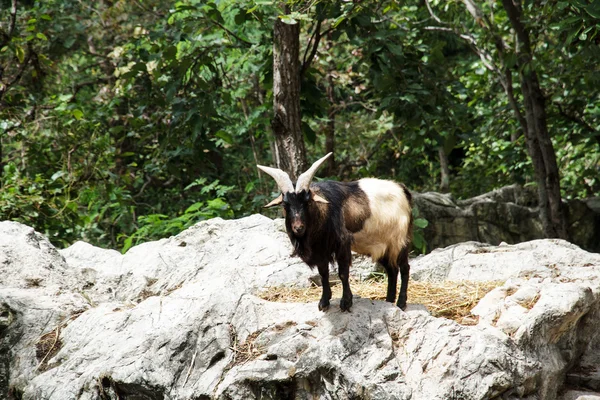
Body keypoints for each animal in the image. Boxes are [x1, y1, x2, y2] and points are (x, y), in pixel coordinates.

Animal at [258, 153, 412, 312]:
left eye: (308, 202)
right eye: (285, 204)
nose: (298, 228)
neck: (324, 212)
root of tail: (402, 190)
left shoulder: (342, 244)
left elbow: (343, 273)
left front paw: (346, 302)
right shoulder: (320, 250)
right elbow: (323, 274)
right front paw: (324, 301)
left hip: (399, 240)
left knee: (404, 268)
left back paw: (401, 303)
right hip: (382, 245)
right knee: (392, 270)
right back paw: (389, 301)